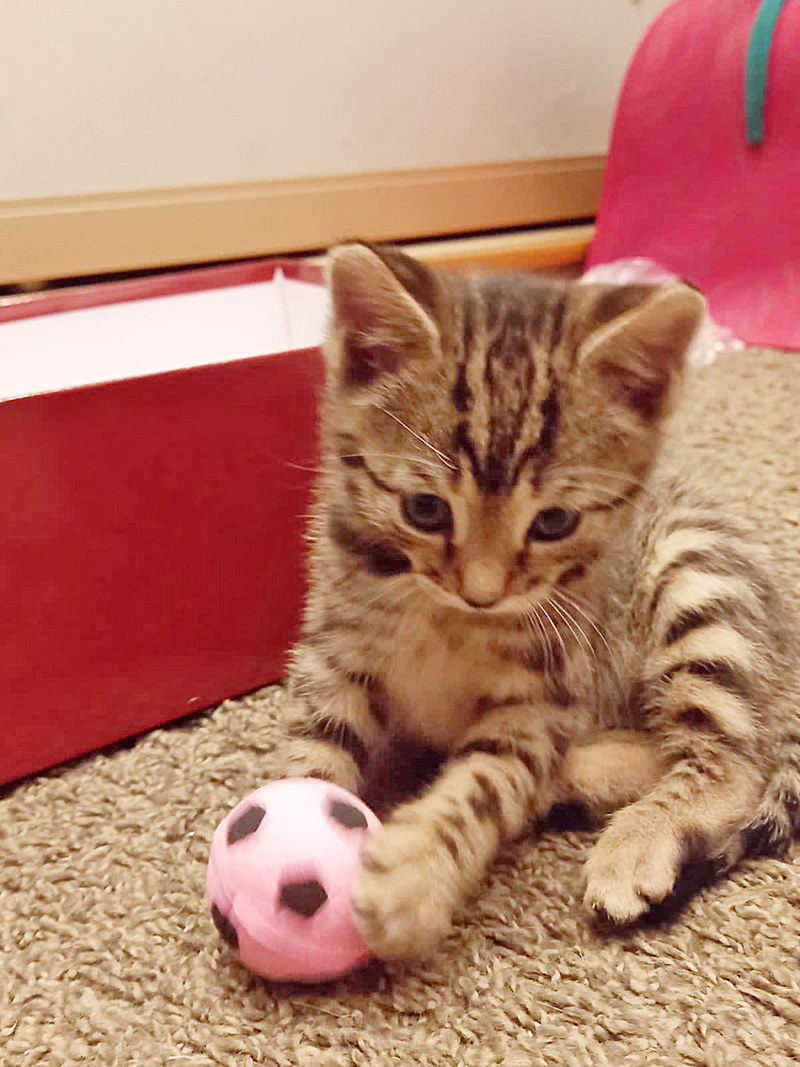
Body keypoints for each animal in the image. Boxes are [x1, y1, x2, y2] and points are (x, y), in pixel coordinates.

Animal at [280, 241, 800, 960]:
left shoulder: (540, 694)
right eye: (424, 510)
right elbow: (313, 751)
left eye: (553, 522)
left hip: (697, 576)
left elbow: (487, 781)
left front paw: (416, 873)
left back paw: (632, 840)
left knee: (735, 761)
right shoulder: (335, 651)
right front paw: (284, 826)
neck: (446, 620)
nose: (482, 593)